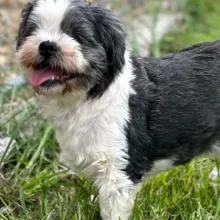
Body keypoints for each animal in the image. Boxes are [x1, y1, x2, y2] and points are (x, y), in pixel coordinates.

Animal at [16, 0, 220, 220]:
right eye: (32, 31)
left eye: (79, 36)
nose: (47, 45)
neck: (86, 99)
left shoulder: (119, 170)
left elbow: (113, 208)